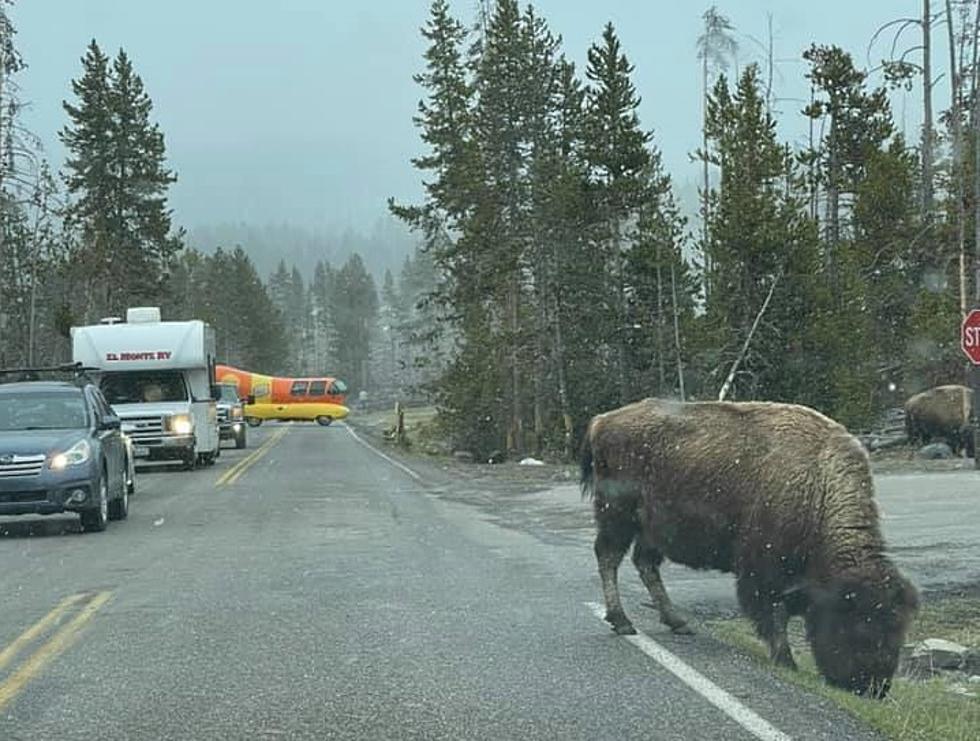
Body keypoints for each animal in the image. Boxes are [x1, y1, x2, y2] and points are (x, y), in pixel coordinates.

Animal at [580, 396, 920, 696]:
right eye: (860, 625)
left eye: (898, 630)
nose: (874, 688)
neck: (817, 487)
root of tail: (602, 421)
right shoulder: (764, 569)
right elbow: (773, 613)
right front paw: (786, 660)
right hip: (617, 515)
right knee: (608, 557)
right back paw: (622, 621)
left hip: (650, 529)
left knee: (645, 563)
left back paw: (678, 622)